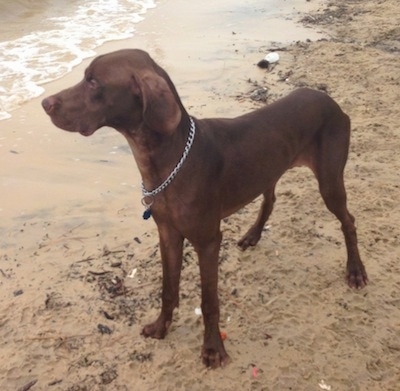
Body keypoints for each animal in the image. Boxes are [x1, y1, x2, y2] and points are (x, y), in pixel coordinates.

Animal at [42, 48, 368, 368]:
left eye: (93, 82)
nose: (45, 103)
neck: (170, 160)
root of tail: (329, 100)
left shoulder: (208, 241)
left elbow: (209, 302)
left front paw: (213, 349)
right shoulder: (168, 234)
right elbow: (168, 290)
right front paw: (161, 327)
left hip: (329, 181)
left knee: (349, 221)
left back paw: (355, 271)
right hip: (268, 169)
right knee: (270, 199)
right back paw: (253, 235)